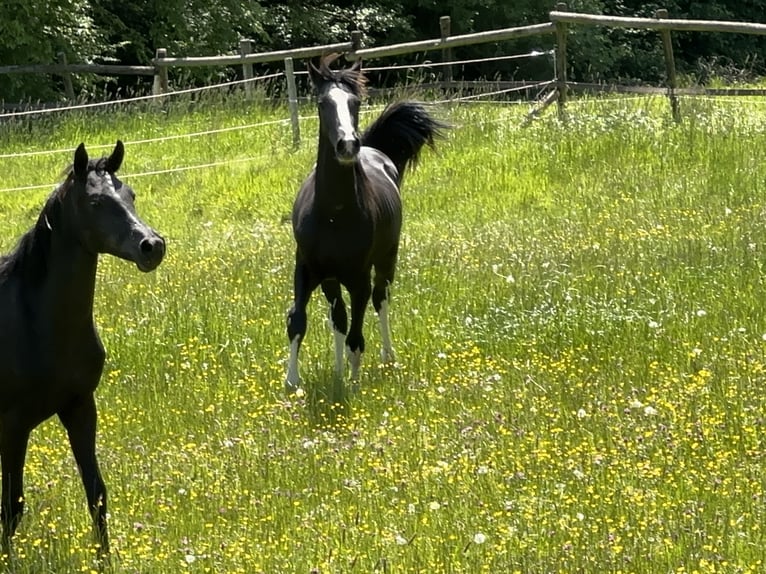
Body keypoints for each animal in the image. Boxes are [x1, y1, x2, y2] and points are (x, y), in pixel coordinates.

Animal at [0, 141, 165, 557]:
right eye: (94, 202)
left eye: (130, 194)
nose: (152, 246)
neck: (36, 322)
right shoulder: (12, 426)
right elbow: (11, 507)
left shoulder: (80, 408)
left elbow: (97, 494)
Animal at [286, 54, 448, 391]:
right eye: (322, 103)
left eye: (355, 102)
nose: (347, 145)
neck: (332, 213)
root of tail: (377, 149)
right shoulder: (306, 269)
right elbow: (298, 320)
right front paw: (293, 382)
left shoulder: (358, 278)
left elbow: (356, 337)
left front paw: (354, 385)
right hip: (331, 280)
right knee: (338, 317)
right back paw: (337, 371)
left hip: (386, 261)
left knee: (380, 300)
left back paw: (387, 357)